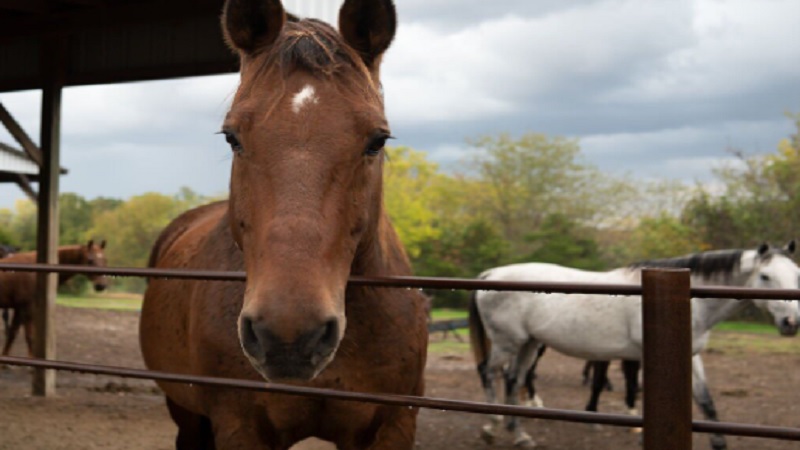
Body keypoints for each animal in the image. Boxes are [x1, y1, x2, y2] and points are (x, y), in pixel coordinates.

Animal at [142, 0, 432, 448]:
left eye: (378, 140)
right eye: (232, 137)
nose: (290, 336)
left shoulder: (393, 426)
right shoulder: (240, 425)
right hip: (186, 412)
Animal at [468, 244, 800, 448]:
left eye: (796, 274)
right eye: (765, 276)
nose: (791, 322)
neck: (682, 300)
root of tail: (490, 274)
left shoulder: (691, 356)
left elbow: (706, 401)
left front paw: (719, 443)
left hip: (530, 344)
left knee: (514, 379)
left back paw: (519, 434)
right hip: (508, 343)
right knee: (487, 372)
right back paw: (491, 426)